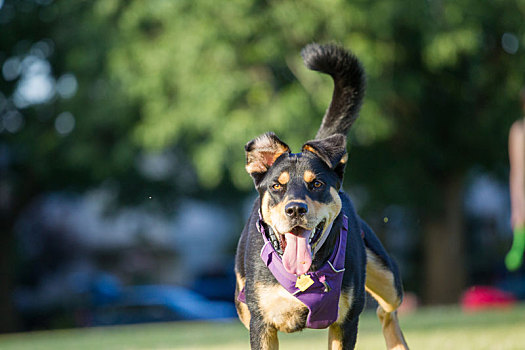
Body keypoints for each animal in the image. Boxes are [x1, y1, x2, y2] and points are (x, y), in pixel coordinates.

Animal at [234, 43, 410, 350]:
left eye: (316, 183)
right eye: (277, 186)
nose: (295, 209)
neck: (305, 274)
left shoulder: (345, 321)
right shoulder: (261, 324)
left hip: (387, 279)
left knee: (386, 310)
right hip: (241, 302)